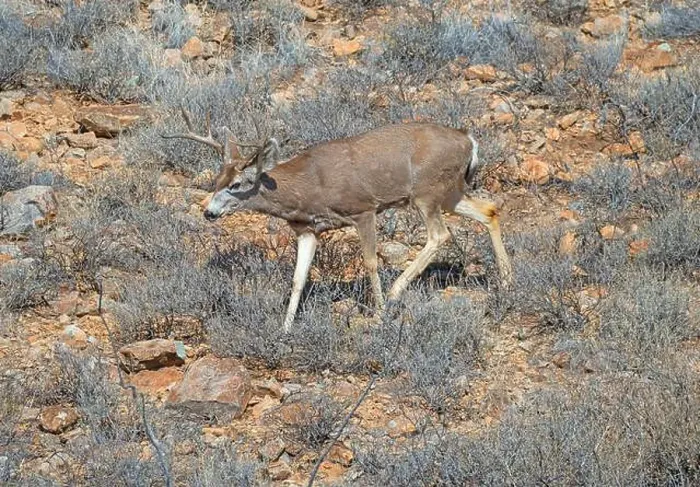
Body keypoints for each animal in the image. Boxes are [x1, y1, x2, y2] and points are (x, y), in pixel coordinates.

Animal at [162, 108, 512, 332]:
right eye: (216, 180)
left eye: (236, 184)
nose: (209, 212)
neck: (307, 188)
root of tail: (469, 140)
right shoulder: (308, 230)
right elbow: (298, 278)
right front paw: (285, 329)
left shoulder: (363, 209)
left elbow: (370, 262)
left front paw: (378, 313)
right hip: (450, 191)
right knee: (489, 210)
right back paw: (508, 280)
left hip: (427, 191)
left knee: (440, 235)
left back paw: (396, 292)